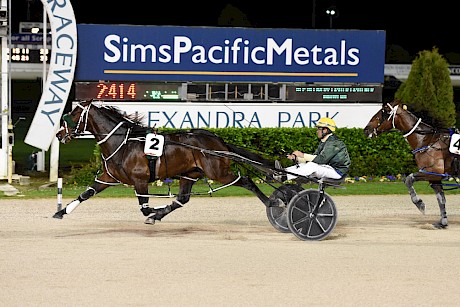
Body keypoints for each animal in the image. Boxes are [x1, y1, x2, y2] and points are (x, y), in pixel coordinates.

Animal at [53, 100, 276, 224]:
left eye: (74, 114)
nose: (59, 134)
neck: (123, 143)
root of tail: (218, 140)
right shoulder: (109, 177)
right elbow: (86, 193)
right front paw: (61, 211)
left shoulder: (140, 179)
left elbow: (144, 206)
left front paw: (153, 210)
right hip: (190, 174)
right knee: (182, 199)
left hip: (218, 172)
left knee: (246, 180)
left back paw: (272, 202)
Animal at [362, 99, 456, 229]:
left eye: (383, 112)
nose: (366, 129)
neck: (426, 140)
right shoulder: (435, 177)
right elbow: (441, 199)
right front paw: (443, 222)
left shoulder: (432, 172)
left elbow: (408, 179)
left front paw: (419, 203)